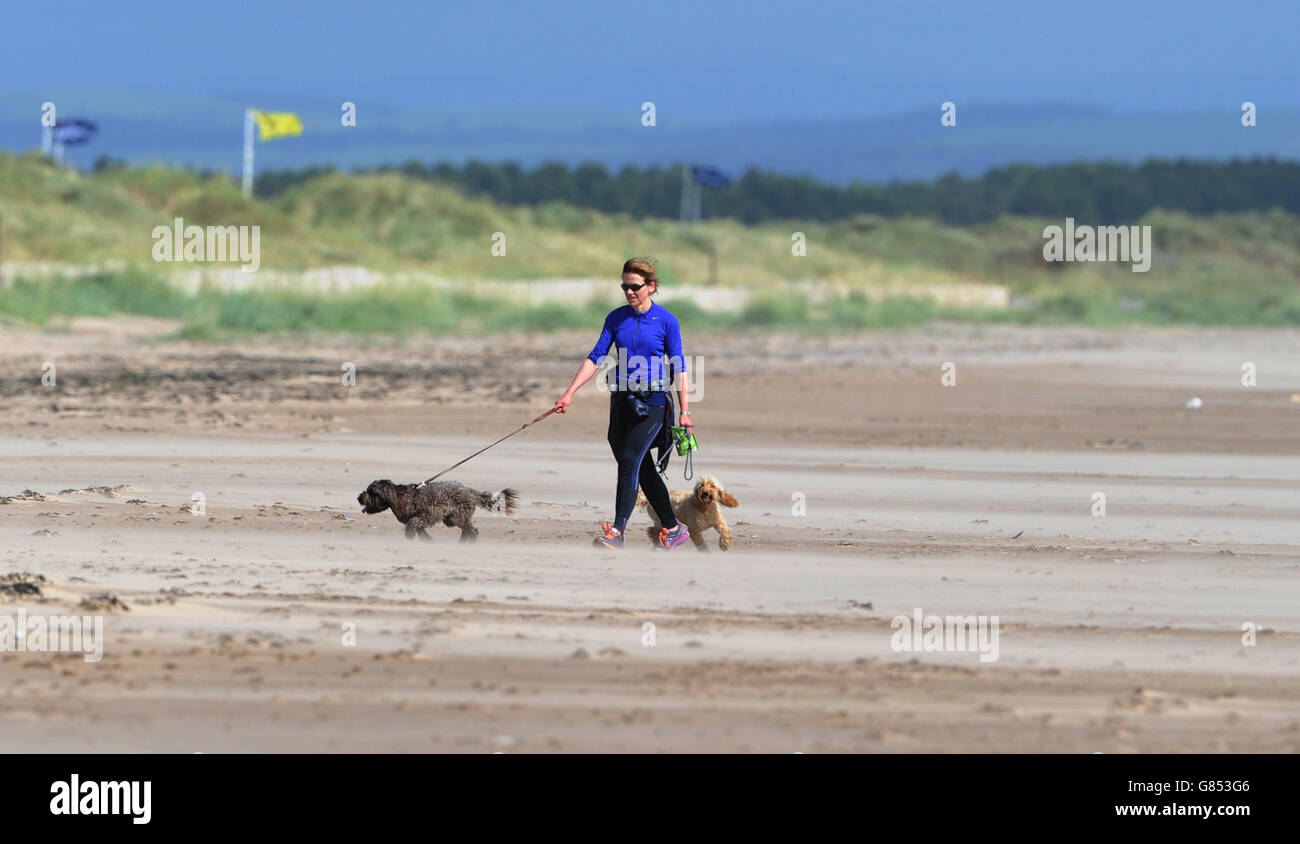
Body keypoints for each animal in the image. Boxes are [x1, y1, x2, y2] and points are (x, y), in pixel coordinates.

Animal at [358, 478, 520, 543]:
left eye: (370, 492)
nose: (359, 497)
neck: (398, 496)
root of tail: (471, 492)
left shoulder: (425, 516)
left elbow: (412, 523)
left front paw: (410, 536)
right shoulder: (422, 521)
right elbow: (420, 530)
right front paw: (427, 541)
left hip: (458, 516)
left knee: (472, 530)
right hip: (454, 518)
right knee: (468, 529)